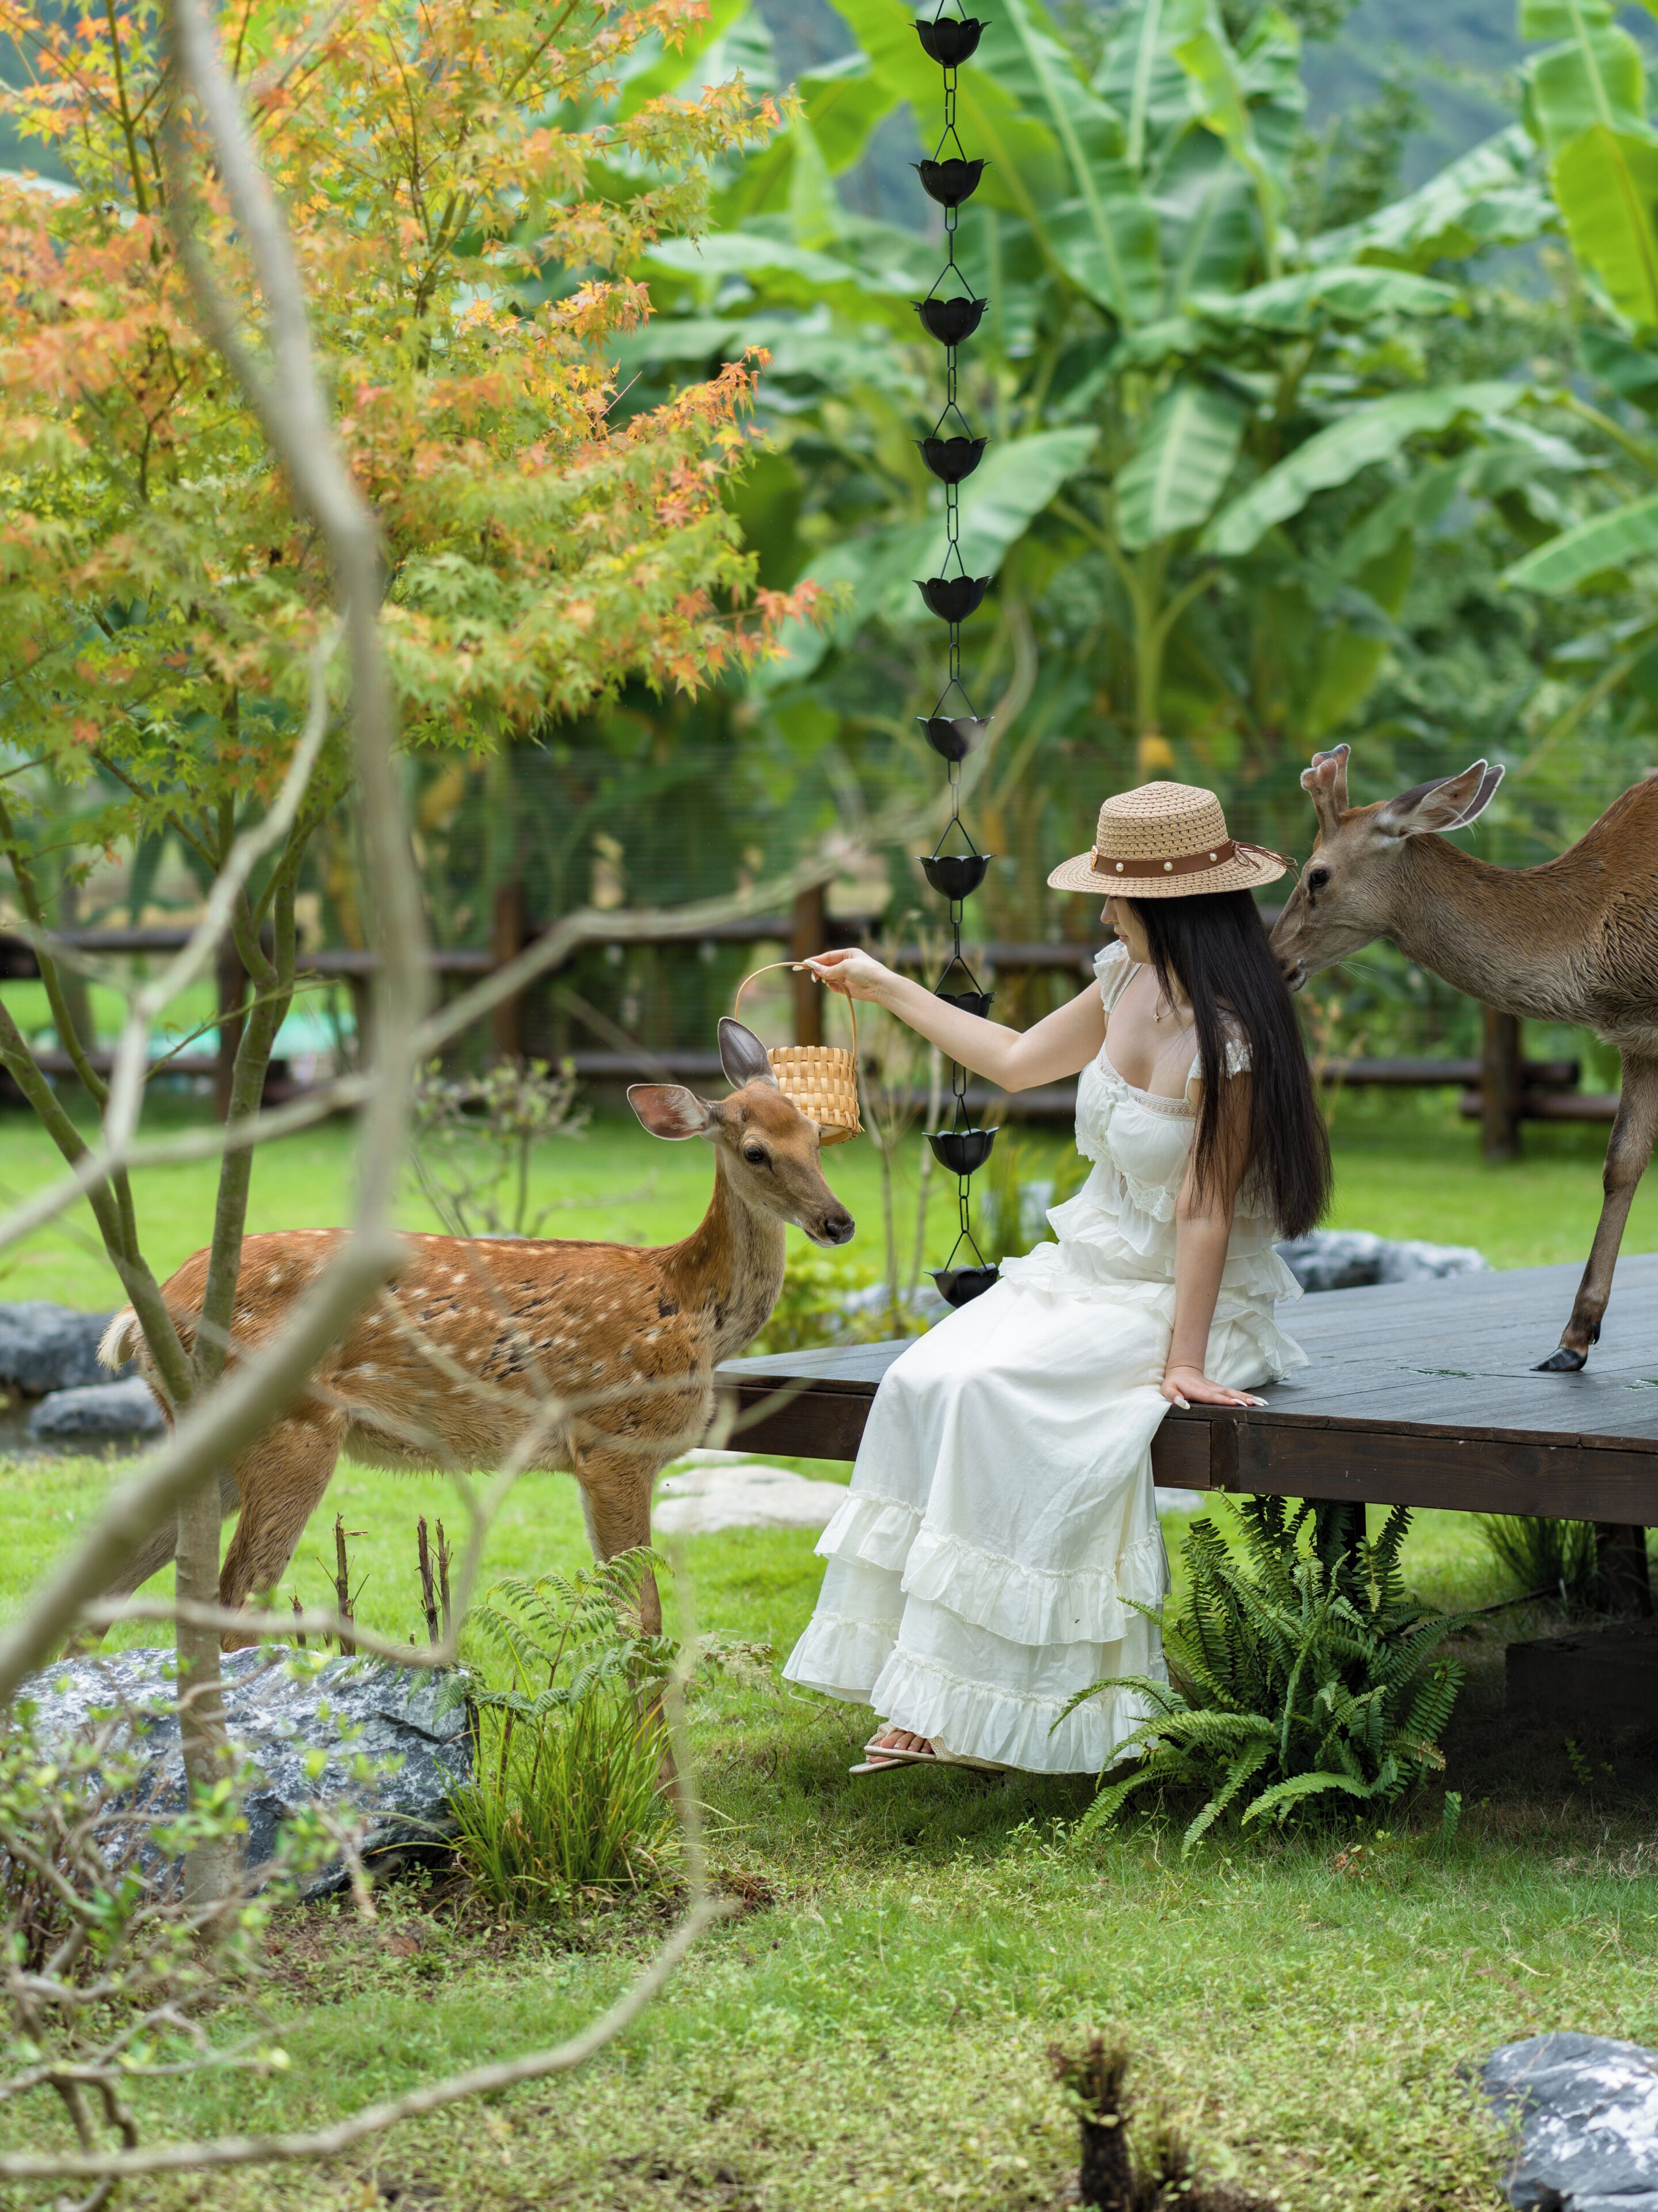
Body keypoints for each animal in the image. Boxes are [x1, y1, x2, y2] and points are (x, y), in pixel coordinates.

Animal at [97, 1019, 854, 1642]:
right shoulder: (613, 1439)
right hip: (289, 1425)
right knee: (230, 1602)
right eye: (755, 1152)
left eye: (818, 1137)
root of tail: (137, 1318)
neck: (688, 1307)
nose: (839, 1222)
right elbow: (641, 1617)